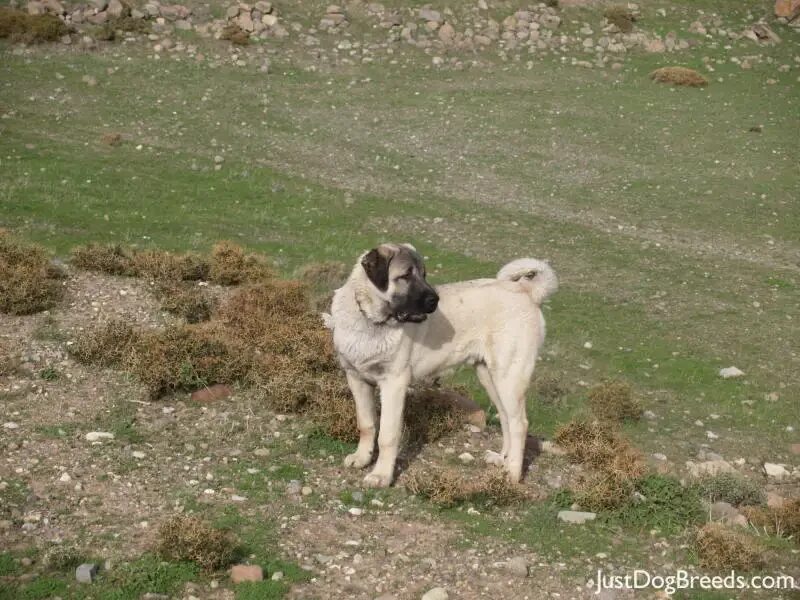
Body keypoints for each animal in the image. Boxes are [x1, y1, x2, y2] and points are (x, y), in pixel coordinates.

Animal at [326, 244, 556, 488]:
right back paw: (502, 459)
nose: (434, 300)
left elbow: (387, 434)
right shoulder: (356, 379)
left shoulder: (393, 384)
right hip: (490, 377)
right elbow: (366, 424)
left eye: (424, 274)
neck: (370, 321)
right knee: (506, 417)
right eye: (406, 276)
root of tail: (526, 290)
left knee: (519, 423)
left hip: (509, 376)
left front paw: (381, 475)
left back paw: (512, 473)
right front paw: (362, 458)